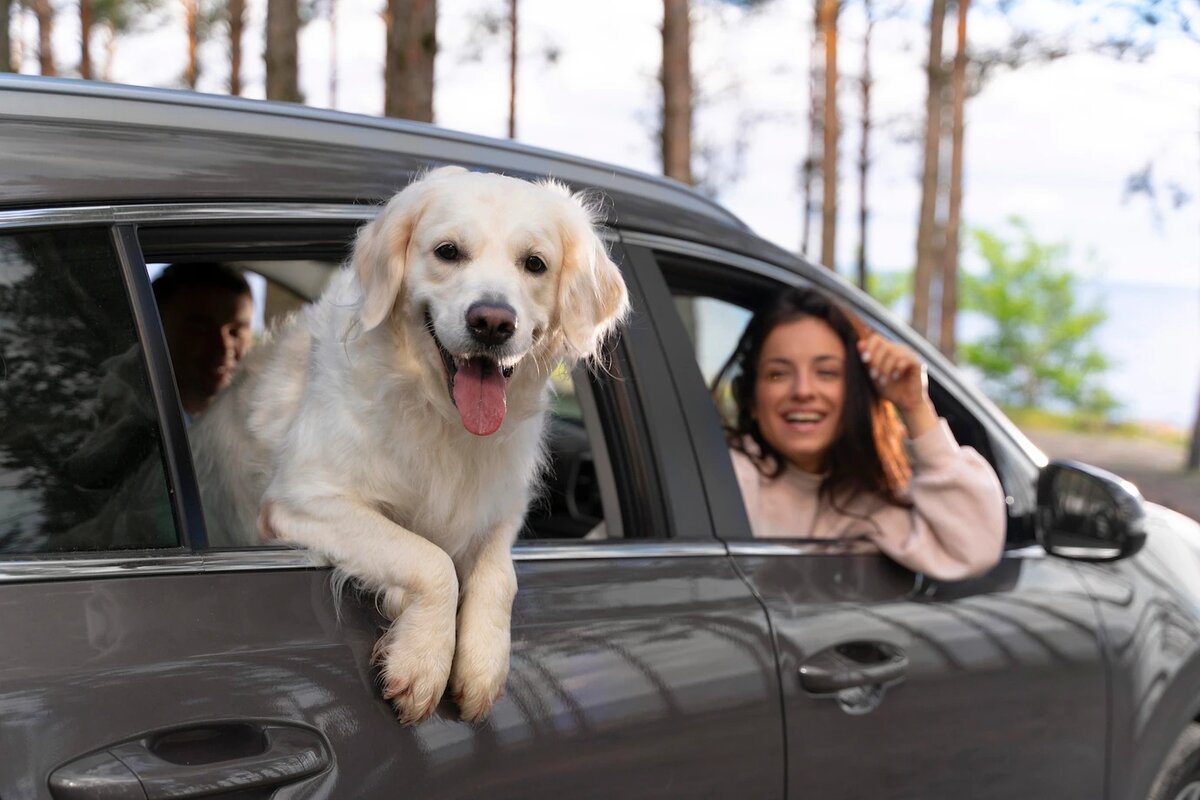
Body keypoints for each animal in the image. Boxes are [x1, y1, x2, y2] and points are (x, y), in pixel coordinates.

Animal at [187, 169, 628, 724]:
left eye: (535, 263)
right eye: (448, 251)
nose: (492, 322)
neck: (440, 417)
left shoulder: (501, 508)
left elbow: (500, 574)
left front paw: (483, 663)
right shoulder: (300, 499)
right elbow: (430, 559)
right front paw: (422, 659)